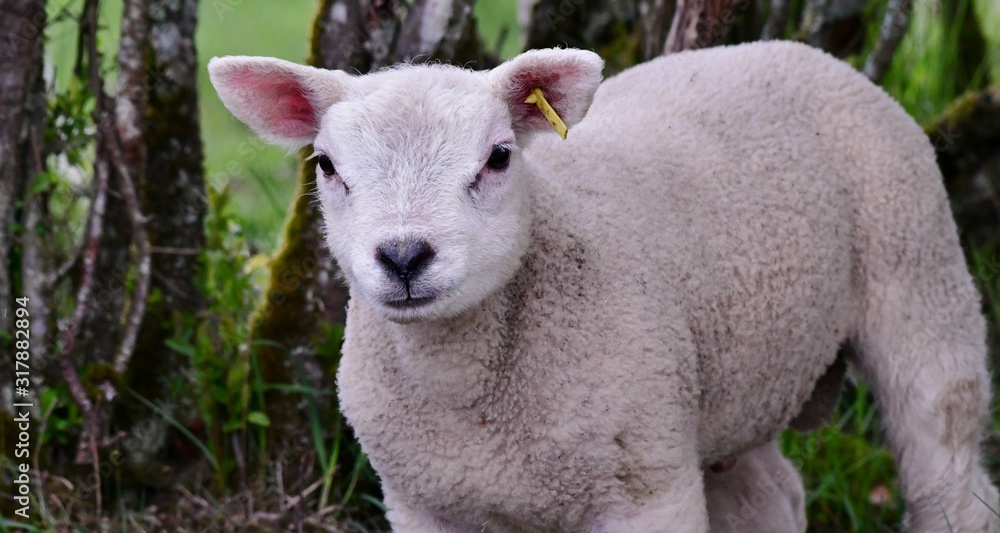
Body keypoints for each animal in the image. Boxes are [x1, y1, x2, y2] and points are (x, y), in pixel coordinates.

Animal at [208, 41, 1000, 532]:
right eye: (327, 166)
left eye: (499, 157)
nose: (404, 256)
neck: (468, 399)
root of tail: (795, 49)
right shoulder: (425, 500)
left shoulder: (644, 490)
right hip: (720, 388)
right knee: (768, 495)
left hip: (919, 274)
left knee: (951, 470)